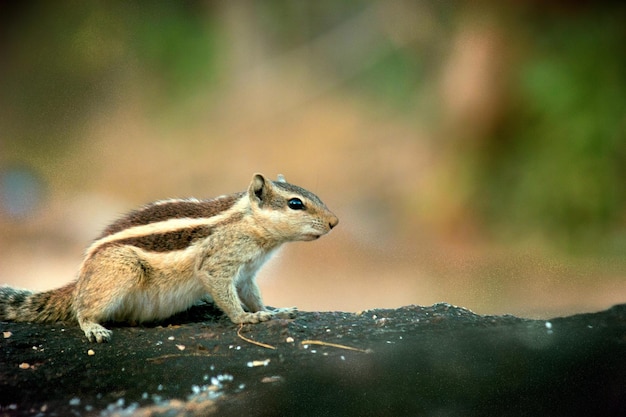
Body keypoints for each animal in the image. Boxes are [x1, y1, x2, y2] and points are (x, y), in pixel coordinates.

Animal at [0, 172, 336, 342]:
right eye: (295, 203)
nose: (335, 222)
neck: (249, 222)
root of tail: (80, 279)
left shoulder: (247, 274)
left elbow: (252, 295)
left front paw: (273, 311)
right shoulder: (218, 263)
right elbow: (227, 295)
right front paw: (245, 318)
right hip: (121, 269)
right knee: (82, 309)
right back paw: (93, 327)